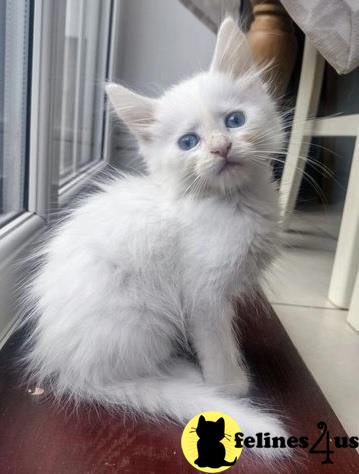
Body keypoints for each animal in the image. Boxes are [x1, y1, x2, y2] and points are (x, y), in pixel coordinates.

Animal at [24, 19, 290, 460]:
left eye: (234, 120)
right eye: (189, 143)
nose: (221, 148)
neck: (231, 204)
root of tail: (69, 369)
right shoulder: (204, 294)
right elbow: (217, 342)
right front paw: (229, 383)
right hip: (143, 316)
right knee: (127, 373)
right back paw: (185, 374)